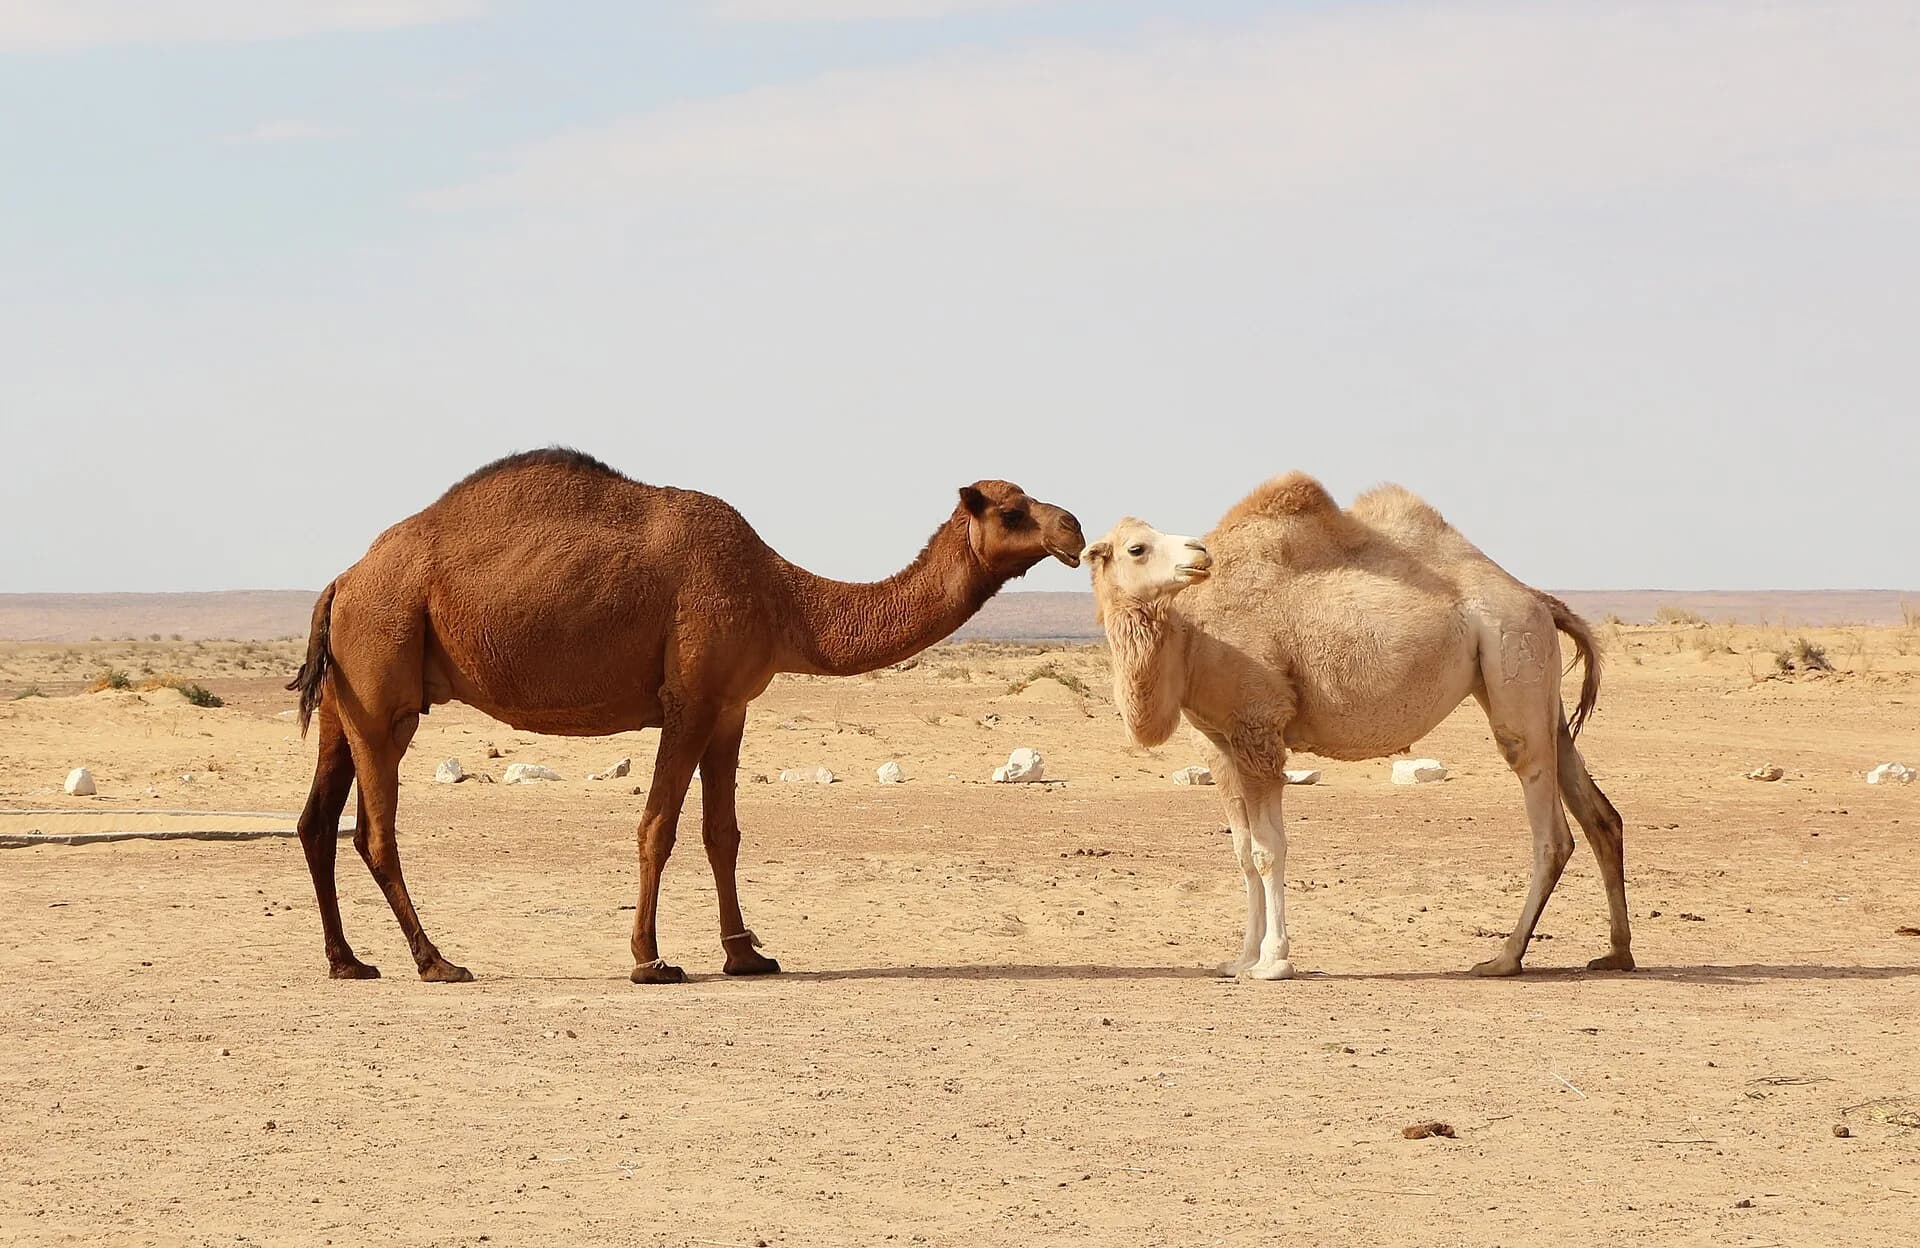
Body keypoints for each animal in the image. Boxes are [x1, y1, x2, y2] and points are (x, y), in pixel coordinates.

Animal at [287, 448, 1085, 984]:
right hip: (384, 681)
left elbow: (721, 833)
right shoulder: (690, 699)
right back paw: (436, 961)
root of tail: (343, 579)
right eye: (1011, 511)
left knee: (317, 822)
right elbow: (658, 827)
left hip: (345, 698)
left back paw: (348, 961)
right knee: (375, 832)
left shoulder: (731, 707)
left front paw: (747, 954)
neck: (782, 596)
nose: (1074, 529)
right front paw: (650, 960)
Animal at [1081, 472, 1631, 979]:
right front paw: (1239, 959)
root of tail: (1538, 598)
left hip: (1511, 649)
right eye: (1137, 547)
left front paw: (1273, 962)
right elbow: (1241, 852)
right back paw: (1616, 954)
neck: (1190, 638)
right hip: (1534, 681)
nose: (1199, 553)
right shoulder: (1219, 741)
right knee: (1599, 814)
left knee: (1549, 826)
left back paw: (1504, 958)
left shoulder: (1259, 726)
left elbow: (1267, 850)